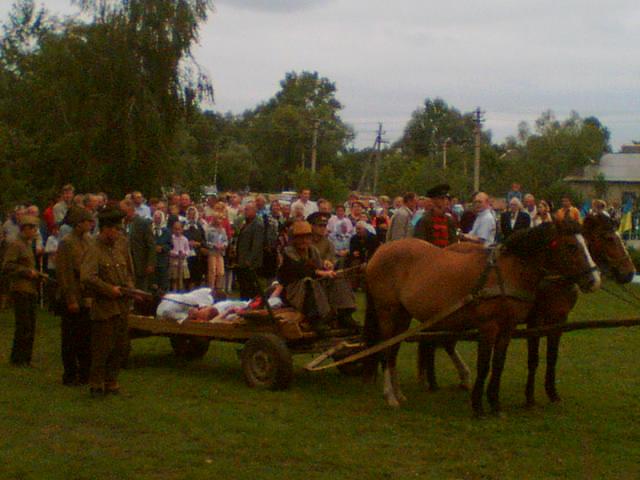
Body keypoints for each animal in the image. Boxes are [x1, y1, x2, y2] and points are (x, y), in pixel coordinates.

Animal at [364, 220, 600, 412]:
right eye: (571, 246)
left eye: (587, 243)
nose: (594, 280)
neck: (507, 273)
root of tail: (380, 250)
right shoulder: (490, 326)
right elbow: (484, 364)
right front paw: (478, 405)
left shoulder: (508, 327)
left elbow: (499, 363)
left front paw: (495, 403)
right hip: (387, 312)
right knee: (386, 349)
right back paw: (390, 396)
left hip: (404, 315)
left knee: (395, 350)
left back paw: (400, 393)